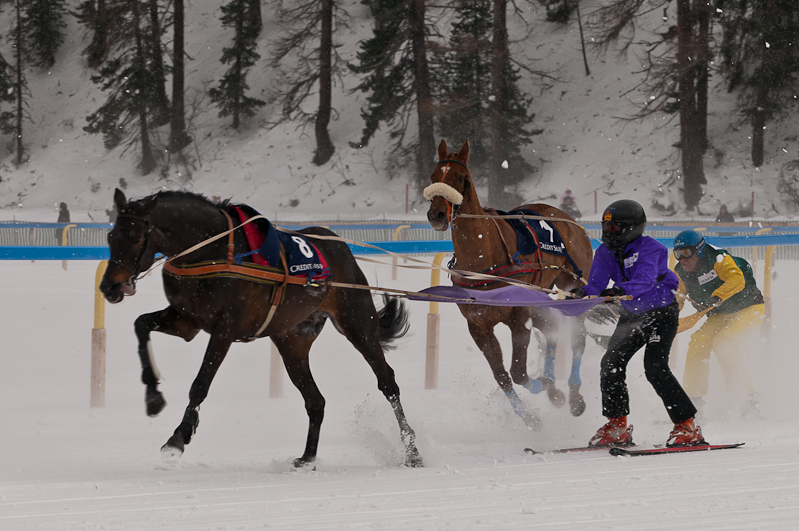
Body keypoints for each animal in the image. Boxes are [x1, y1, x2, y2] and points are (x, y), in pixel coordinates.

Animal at [100, 189, 424, 468]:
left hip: (357, 323)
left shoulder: (225, 328)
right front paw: (153, 397)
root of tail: (340, 245)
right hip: (292, 341)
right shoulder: (186, 321)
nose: (109, 287)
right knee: (315, 400)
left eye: (135, 237)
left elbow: (201, 383)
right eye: (111, 235)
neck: (213, 249)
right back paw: (307, 458)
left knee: (387, 383)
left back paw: (412, 451)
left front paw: (179, 437)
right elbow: (141, 325)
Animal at [428, 140, 596, 428]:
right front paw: (530, 415)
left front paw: (546, 384)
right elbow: (503, 376)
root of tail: (569, 219)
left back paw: (574, 396)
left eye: (459, 177)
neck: (484, 260)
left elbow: (518, 371)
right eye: (433, 177)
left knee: (577, 338)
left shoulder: (518, 315)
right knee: (551, 327)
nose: (436, 214)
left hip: (573, 285)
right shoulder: (479, 326)